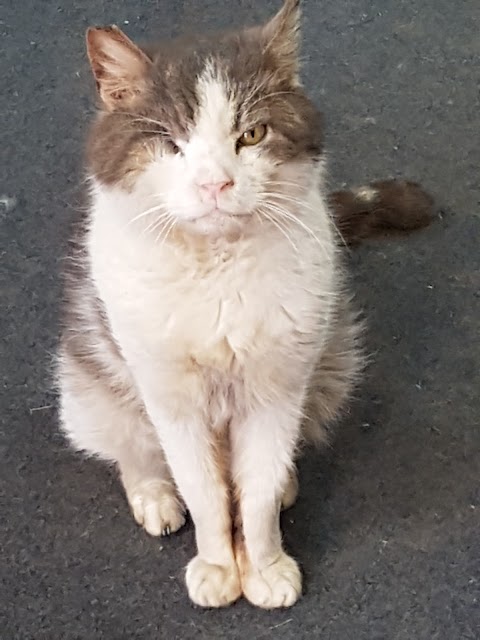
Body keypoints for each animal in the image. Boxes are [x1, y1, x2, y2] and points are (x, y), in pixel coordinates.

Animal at [55, 0, 432, 608]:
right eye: (172, 144)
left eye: (252, 135)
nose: (215, 184)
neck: (217, 271)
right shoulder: (171, 399)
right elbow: (205, 493)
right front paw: (216, 566)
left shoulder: (278, 388)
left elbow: (254, 498)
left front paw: (265, 566)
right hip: (87, 384)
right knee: (130, 448)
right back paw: (153, 493)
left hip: (332, 362)